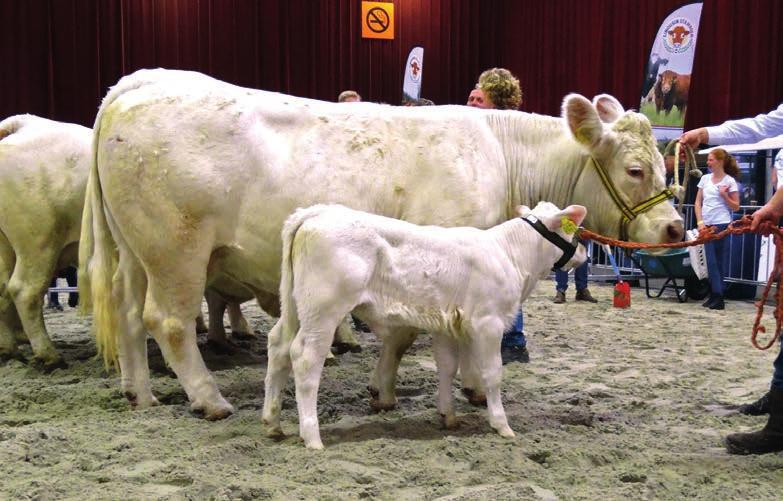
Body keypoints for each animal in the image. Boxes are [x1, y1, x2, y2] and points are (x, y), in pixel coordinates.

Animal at [76, 66, 684, 418]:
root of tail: (131, 90)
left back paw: (140, 393)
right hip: (177, 248)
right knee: (170, 321)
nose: (675, 228)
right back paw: (210, 399)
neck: (498, 153)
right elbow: (417, 334)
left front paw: (389, 389)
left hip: (136, 251)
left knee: (127, 313)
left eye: (661, 164)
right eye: (634, 169)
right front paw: (448, 389)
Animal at [264, 201, 588, 448]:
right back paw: (312, 437)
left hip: (296, 305)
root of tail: (318, 212)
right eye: (574, 229)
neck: (509, 253)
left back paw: (272, 422)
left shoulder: (448, 325)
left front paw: (448, 416)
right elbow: (492, 374)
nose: (585, 253)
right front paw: (501, 424)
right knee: (305, 359)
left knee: (278, 345)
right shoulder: (488, 322)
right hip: (324, 309)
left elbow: (447, 367)